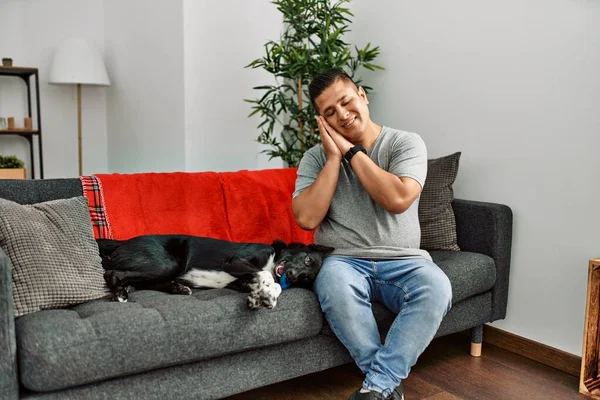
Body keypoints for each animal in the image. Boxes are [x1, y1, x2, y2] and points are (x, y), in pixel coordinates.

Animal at [98, 234, 332, 310]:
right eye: (307, 258)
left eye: (305, 279)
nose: (292, 276)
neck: (273, 258)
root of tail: (123, 242)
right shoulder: (234, 261)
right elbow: (266, 275)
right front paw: (267, 294)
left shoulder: (242, 282)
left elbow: (272, 284)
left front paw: (264, 296)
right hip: (167, 263)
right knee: (111, 273)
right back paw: (120, 294)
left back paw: (178, 288)